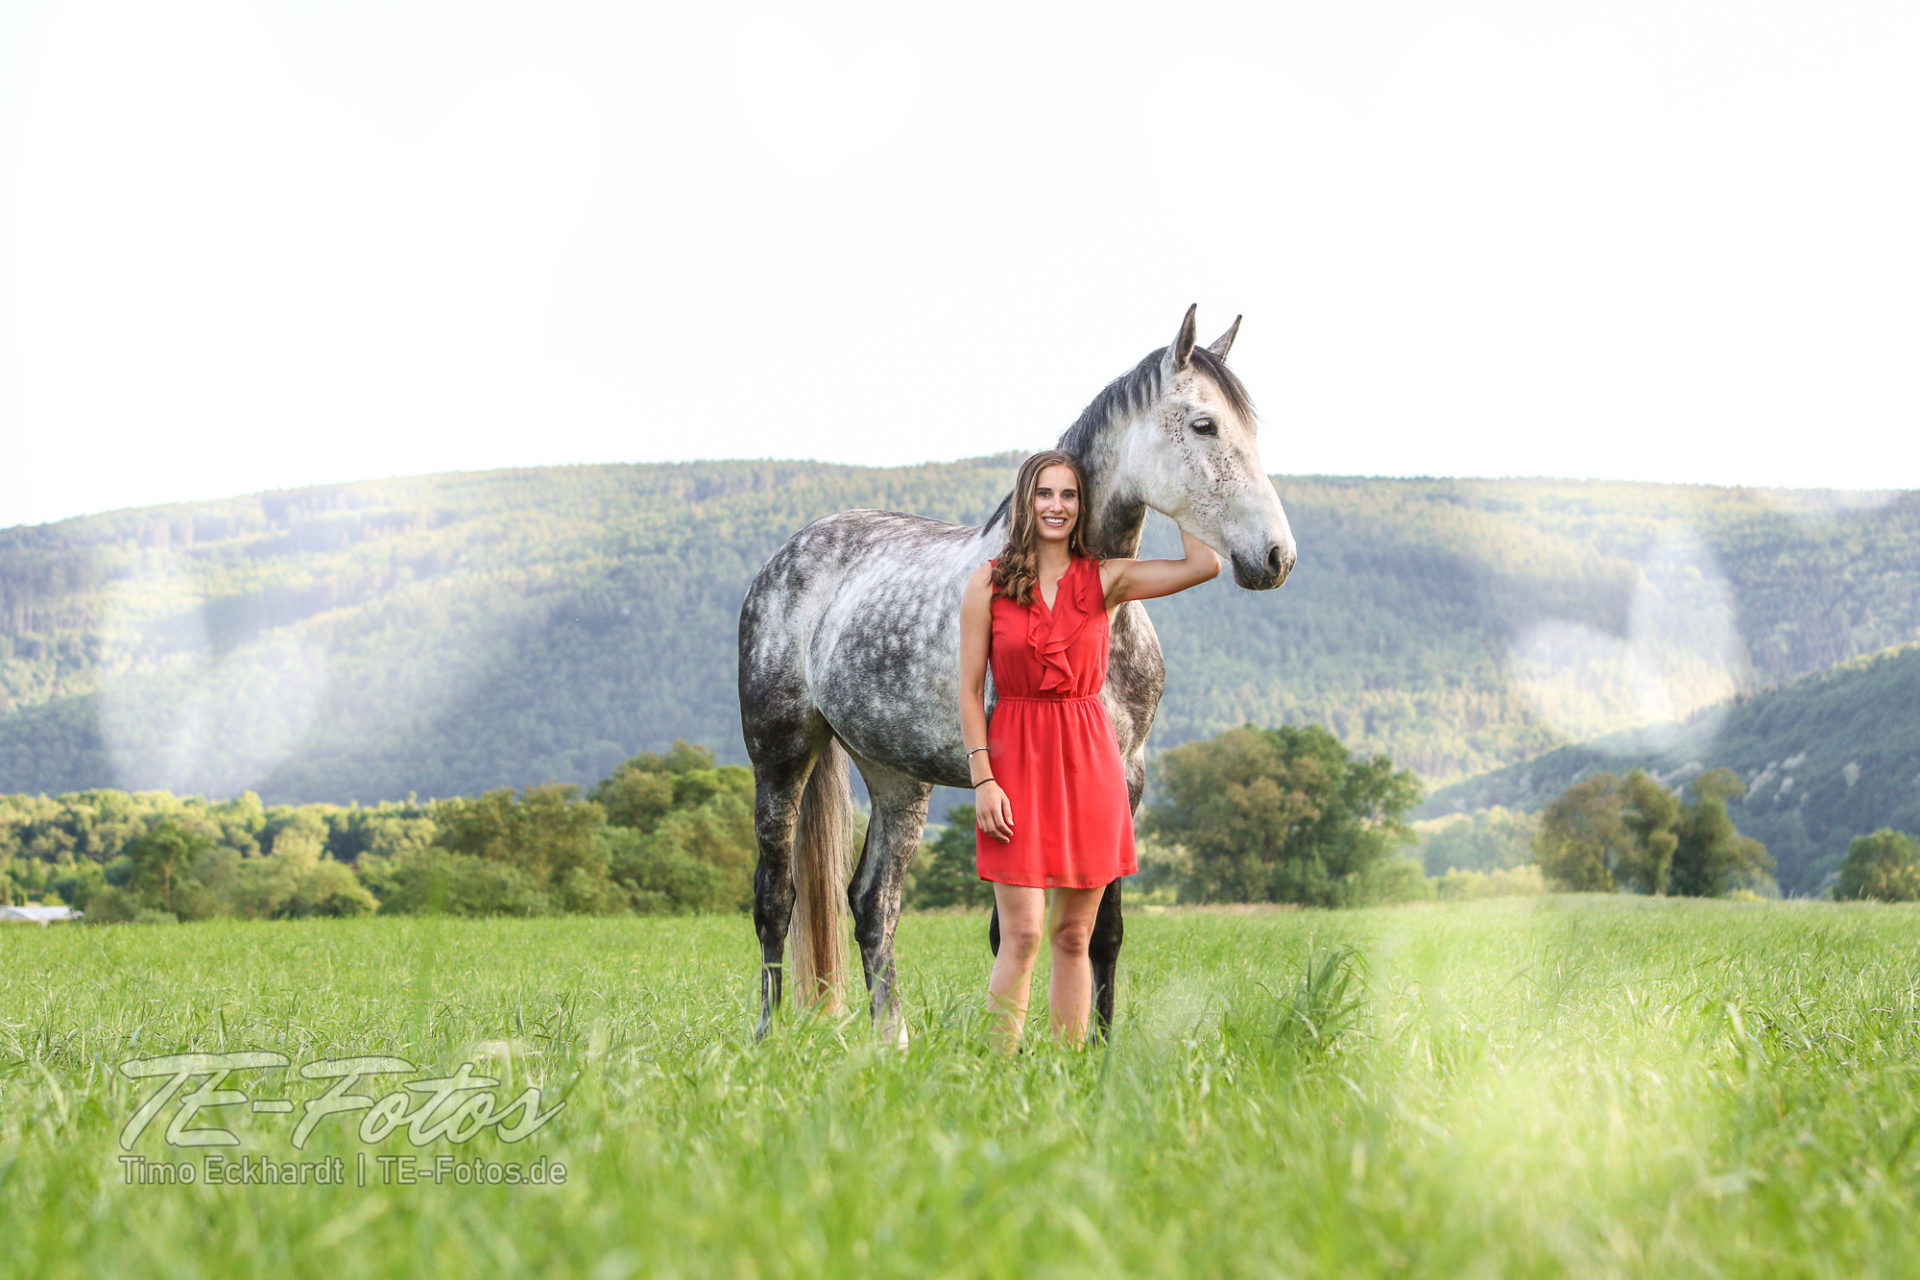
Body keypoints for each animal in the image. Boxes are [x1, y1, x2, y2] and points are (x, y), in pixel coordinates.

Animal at [736, 306, 1296, 1046]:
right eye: (1204, 424)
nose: (1277, 556)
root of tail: (789, 553)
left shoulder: (1126, 777)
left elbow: (1103, 930)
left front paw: (1097, 1046)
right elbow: (1010, 930)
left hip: (896, 778)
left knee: (871, 904)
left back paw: (892, 1042)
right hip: (781, 752)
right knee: (776, 899)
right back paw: (764, 1040)